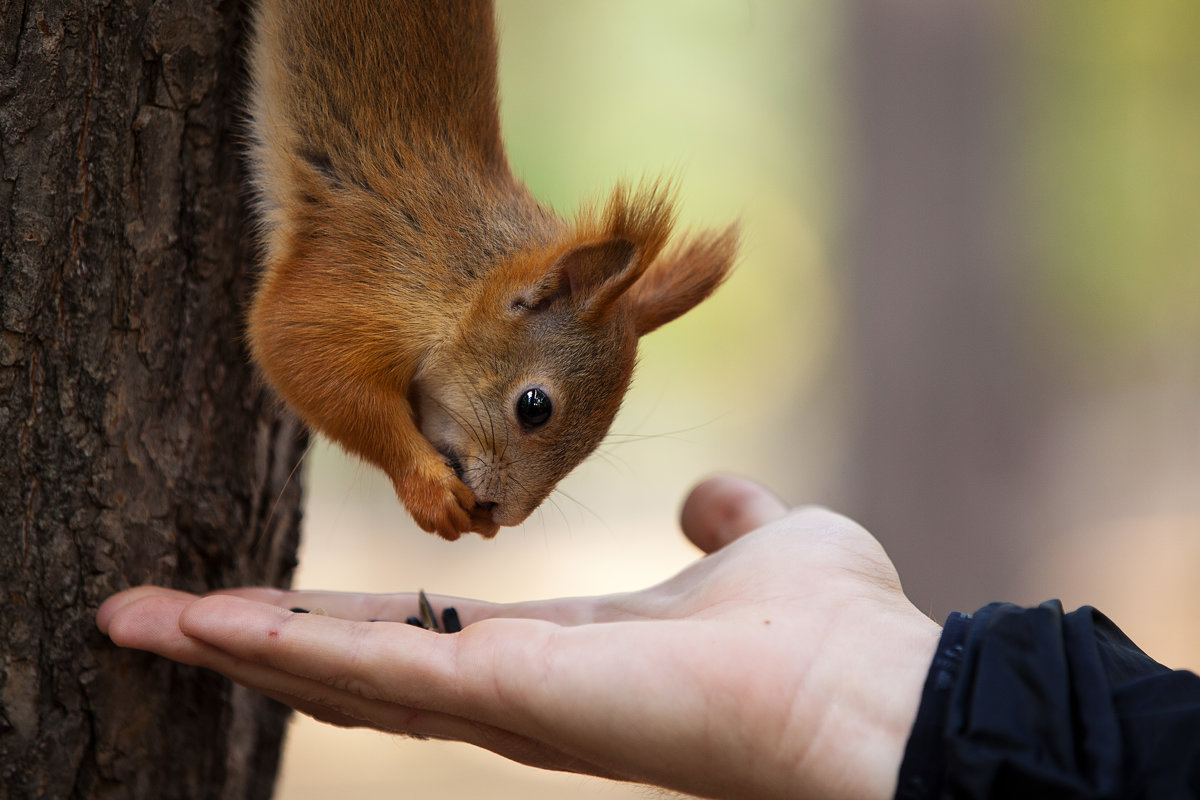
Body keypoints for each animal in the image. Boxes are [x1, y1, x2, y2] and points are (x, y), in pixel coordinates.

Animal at [244, 0, 734, 542]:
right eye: (534, 406)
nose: (505, 516)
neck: (463, 282)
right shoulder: (358, 272)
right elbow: (297, 353)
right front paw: (429, 490)